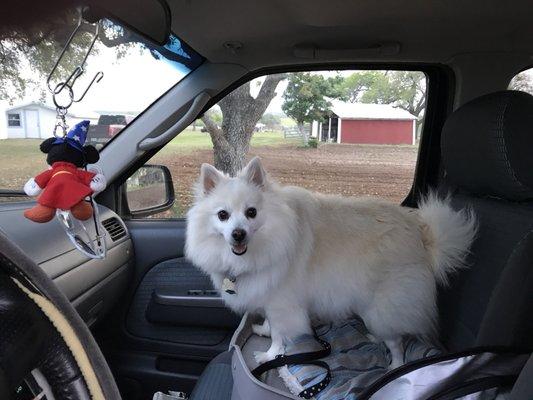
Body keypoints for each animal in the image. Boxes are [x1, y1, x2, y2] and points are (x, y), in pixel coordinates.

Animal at [185, 157, 476, 368]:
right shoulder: (268, 297)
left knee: (397, 342)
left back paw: (395, 365)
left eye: (251, 213)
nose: (238, 234)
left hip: (383, 305)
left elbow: (280, 333)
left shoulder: (282, 302)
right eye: (223, 215)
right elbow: (271, 324)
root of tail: (422, 238)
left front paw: (270, 355)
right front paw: (264, 330)